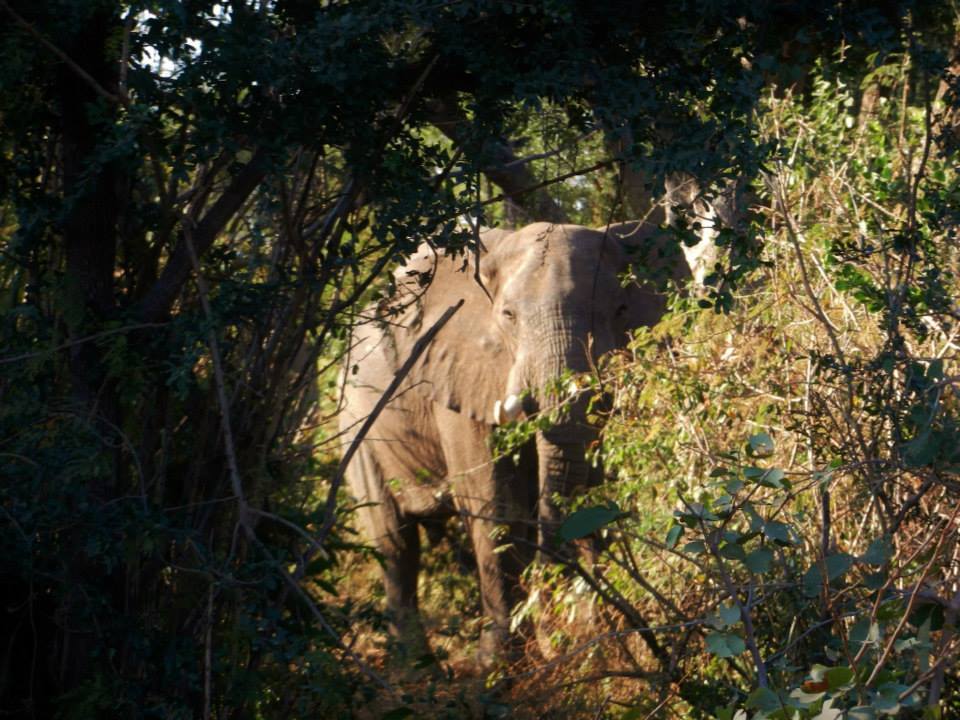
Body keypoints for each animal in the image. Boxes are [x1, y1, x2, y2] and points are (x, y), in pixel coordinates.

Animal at [338, 218, 690, 661]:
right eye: (508, 315)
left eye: (621, 310)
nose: (558, 628)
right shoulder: (458, 367)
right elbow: (494, 502)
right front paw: (498, 663)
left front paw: (605, 640)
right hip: (357, 422)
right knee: (394, 542)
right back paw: (416, 667)